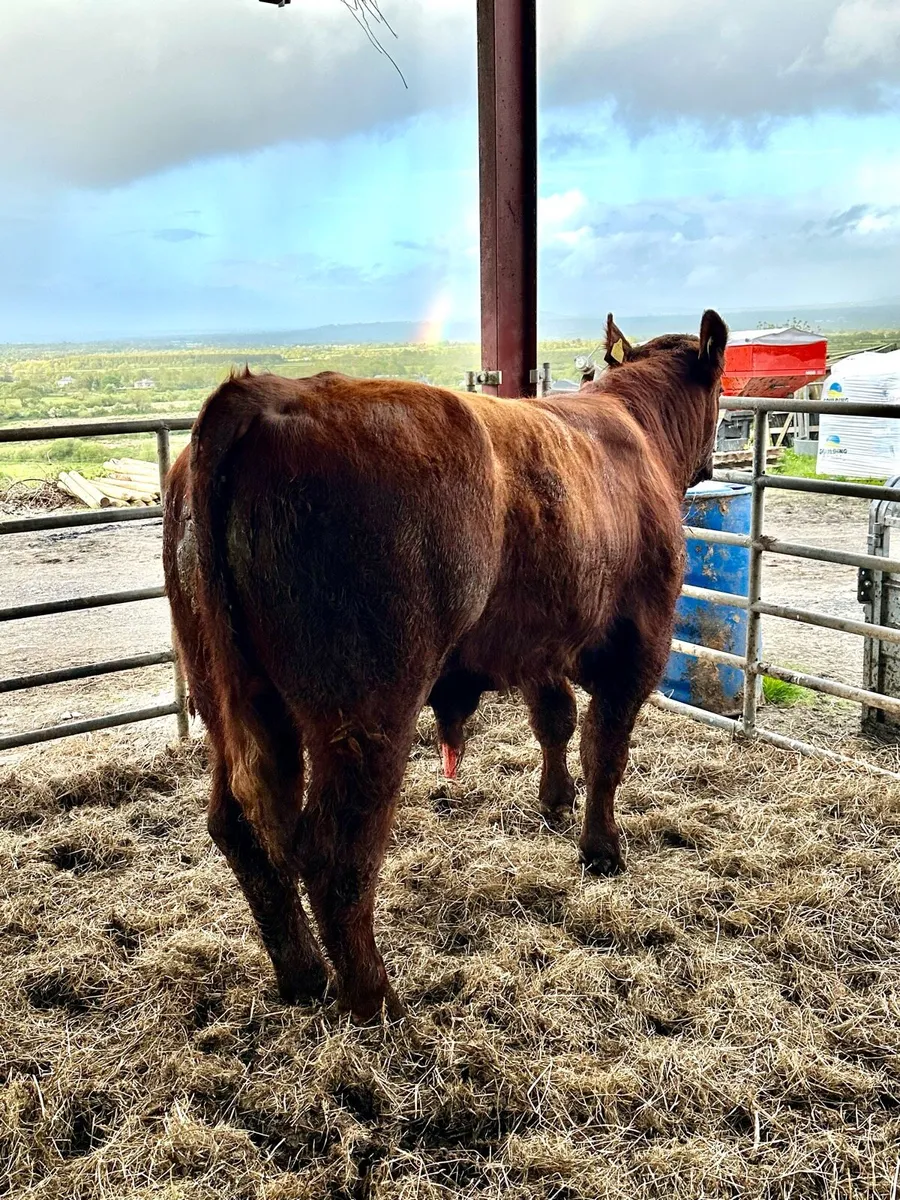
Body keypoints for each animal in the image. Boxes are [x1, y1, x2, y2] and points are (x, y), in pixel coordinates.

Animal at [162, 310, 727, 1021]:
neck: (634, 426)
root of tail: (261, 396)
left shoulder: (537, 643)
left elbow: (556, 722)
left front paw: (554, 802)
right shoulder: (638, 646)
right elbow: (605, 752)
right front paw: (601, 850)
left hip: (227, 697)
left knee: (242, 832)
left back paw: (303, 978)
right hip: (366, 710)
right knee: (336, 857)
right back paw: (377, 1002)